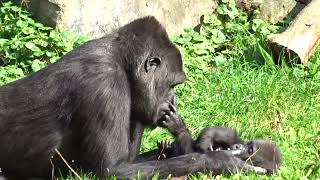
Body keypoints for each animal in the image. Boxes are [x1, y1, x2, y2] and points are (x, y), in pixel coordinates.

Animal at [0, 16, 260, 179]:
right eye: (172, 85)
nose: (173, 101)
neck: (122, 62)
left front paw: (176, 147)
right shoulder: (105, 84)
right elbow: (113, 171)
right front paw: (220, 161)